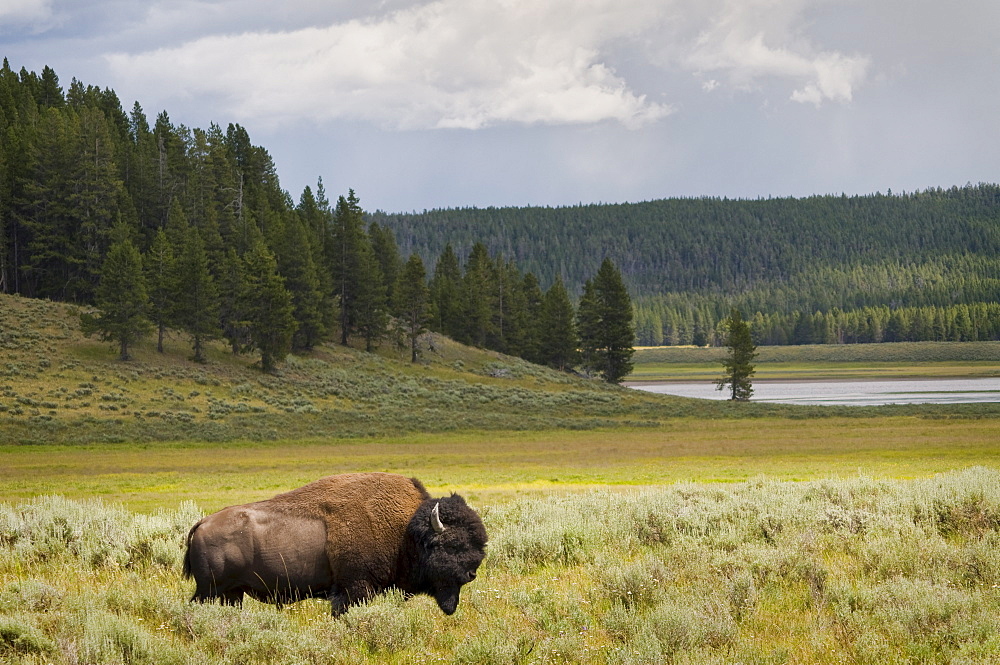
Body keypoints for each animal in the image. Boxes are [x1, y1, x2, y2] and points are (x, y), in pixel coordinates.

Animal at [186, 470, 490, 616]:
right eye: (452, 545)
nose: (471, 573)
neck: (406, 531)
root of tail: (202, 523)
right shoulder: (354, 588)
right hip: (210, 591)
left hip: (231, 594)